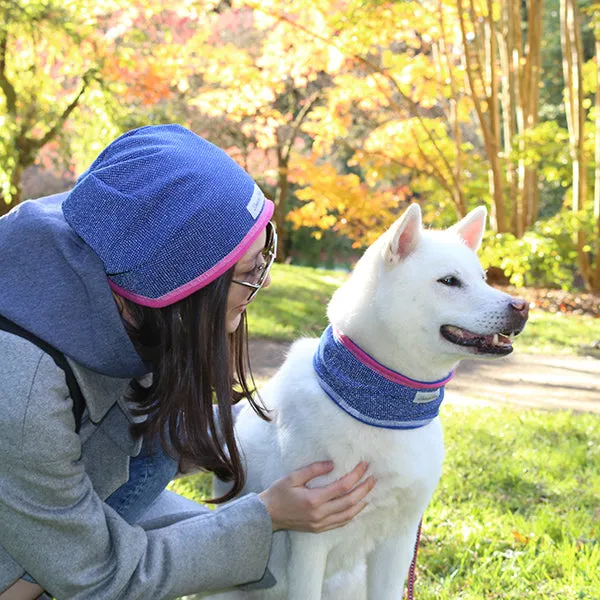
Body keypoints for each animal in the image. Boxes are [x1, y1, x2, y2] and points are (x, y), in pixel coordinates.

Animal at [210, 203, 524, 600]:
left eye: (483, 278)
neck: (384, 408)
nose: (522, 306)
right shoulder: (309, 543)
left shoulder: (399, 541)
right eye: (450, 281)